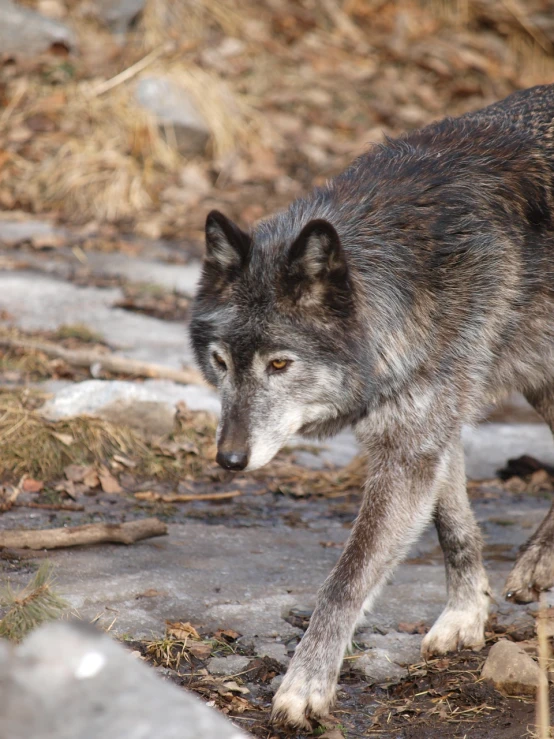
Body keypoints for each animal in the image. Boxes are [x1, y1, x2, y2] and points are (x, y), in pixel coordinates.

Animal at [188, 86, 552, 728]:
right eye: (221, 362)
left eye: (279, 365)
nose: (229, 460)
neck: (412, 277)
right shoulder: (433, 427)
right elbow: (454, 527)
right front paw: (466, 614)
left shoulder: (410, 446)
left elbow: (345, 579)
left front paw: (305, 684)